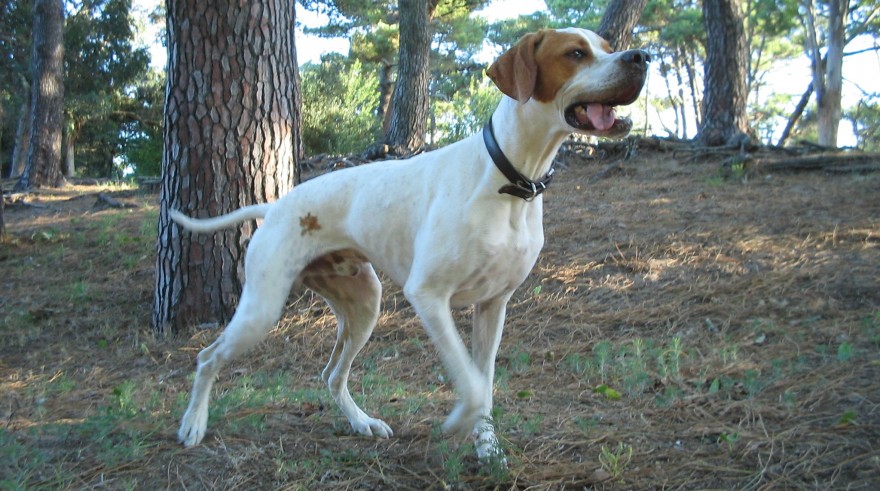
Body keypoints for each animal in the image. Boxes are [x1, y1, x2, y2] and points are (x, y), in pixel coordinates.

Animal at [175, 28, 648, 460]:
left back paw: (362, 422)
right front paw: (459, 420)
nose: (641, 56)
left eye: (608, 47)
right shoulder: (429, 296)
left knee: (332, 375)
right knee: (207, 357)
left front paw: (487, 446)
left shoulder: (494, 305)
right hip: (262, 309)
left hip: (364, 305)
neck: (510, 181)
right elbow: (472, 384)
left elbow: (485, 383)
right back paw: (193, 424)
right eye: (576, 53)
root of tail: (275, 205)